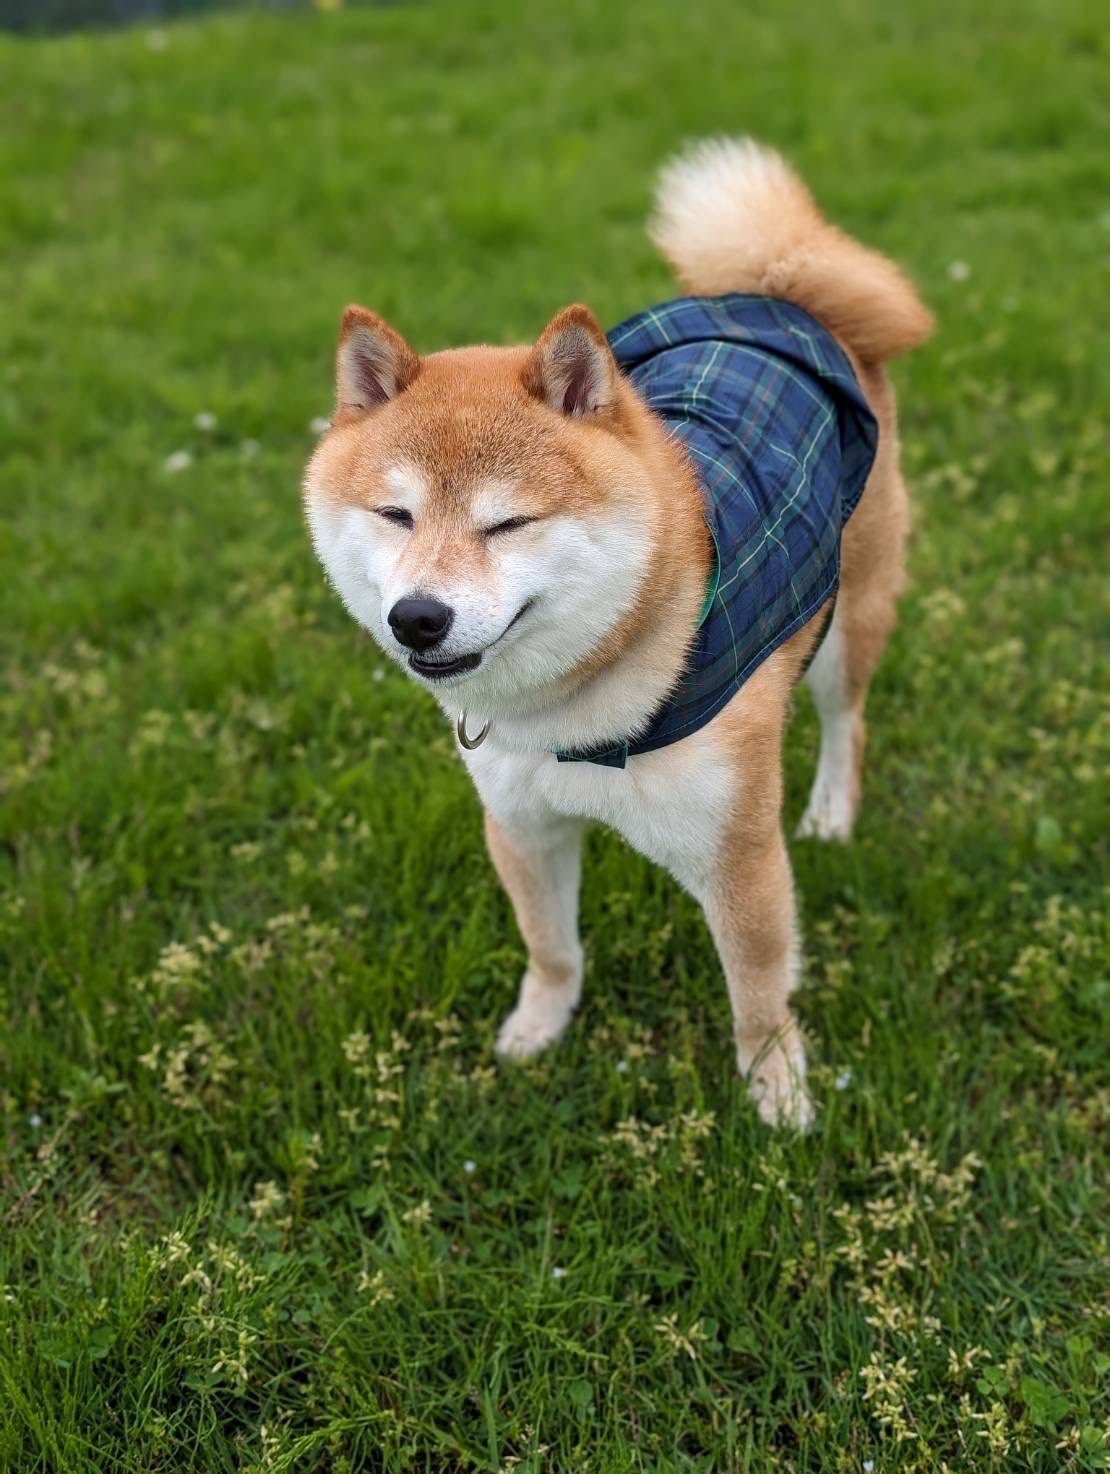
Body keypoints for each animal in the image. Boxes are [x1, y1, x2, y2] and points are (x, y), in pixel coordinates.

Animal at [303, 138, 932, 1127]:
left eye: (507, 524)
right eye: (395, 515)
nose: (418, 616)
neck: (575, 712)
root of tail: (774, 291)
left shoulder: (738, 852)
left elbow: (759, 992)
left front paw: (778, 1095)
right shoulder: (521, 823)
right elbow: (552, 947)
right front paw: (539, 1028)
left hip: (846, 618)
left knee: (848, 722)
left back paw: (833, 809)